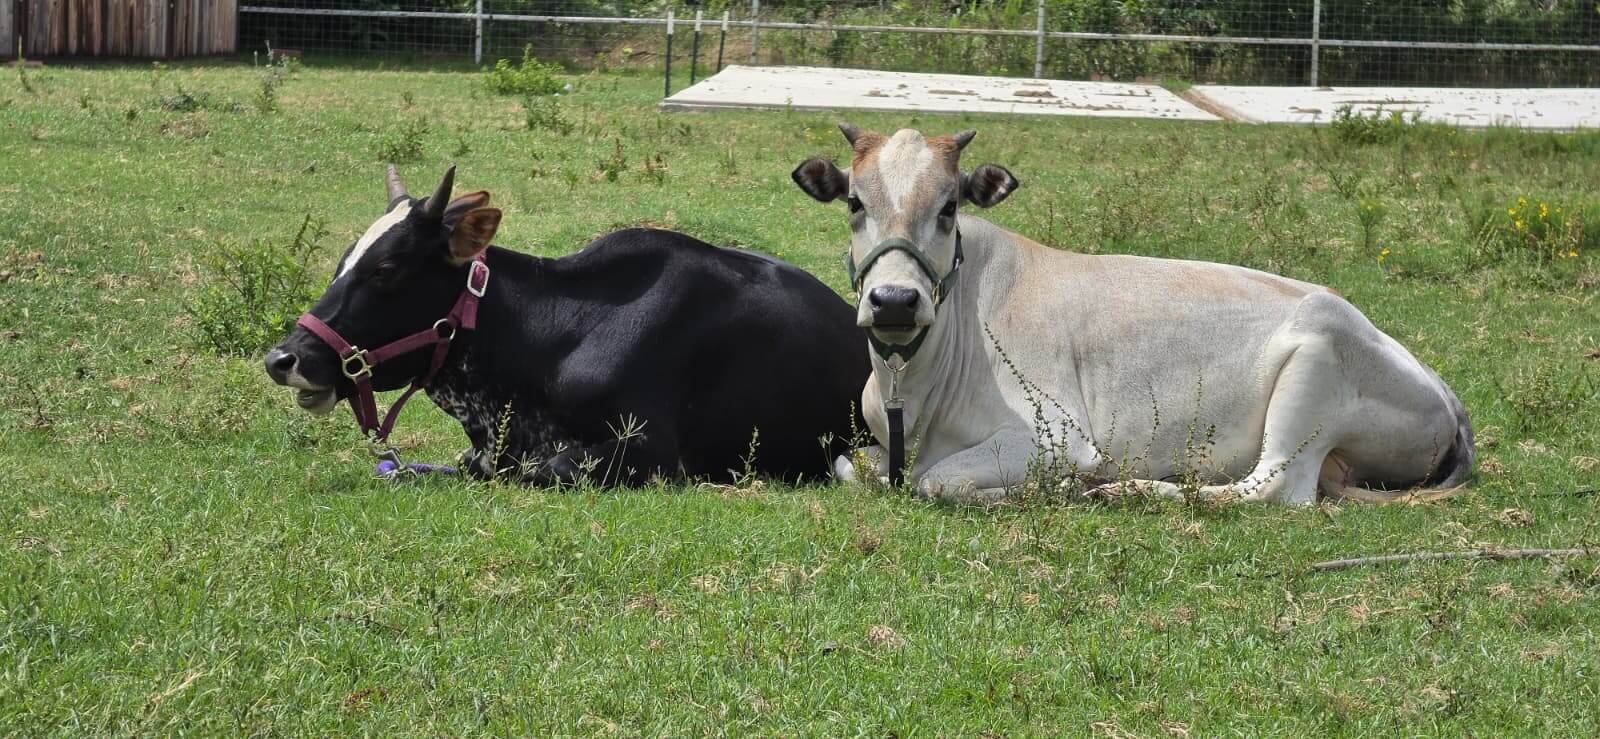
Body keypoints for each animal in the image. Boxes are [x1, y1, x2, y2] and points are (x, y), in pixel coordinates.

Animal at [791, 124, 1473, 506]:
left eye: (950, 207)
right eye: (854, 202)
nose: (895, 301)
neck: (914, 390)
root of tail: (1441, 387)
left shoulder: (1058, 437)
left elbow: (939, 481)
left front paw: (1047, 491)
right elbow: (849, 466)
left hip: (1316, 364)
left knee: (1274, 487)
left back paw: (1127, 489)